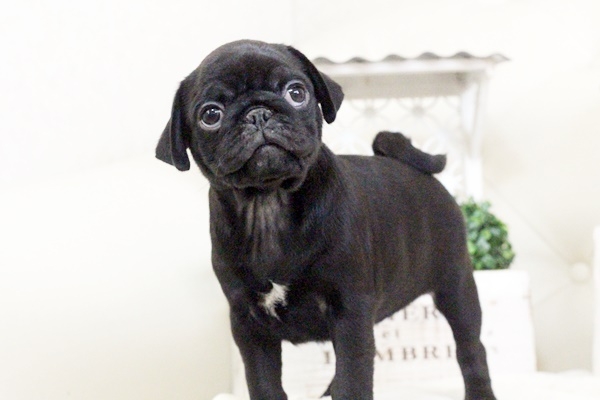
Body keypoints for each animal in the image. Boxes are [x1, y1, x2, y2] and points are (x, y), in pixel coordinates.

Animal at [156, 40, 496, 400]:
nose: (258, 112)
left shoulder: (350, 310)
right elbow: (263, 382)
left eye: (296, 93)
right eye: (210, 115)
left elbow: (353, 377)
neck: (267, 204)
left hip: (456, 285)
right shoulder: (249, 324)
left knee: (471, 348)